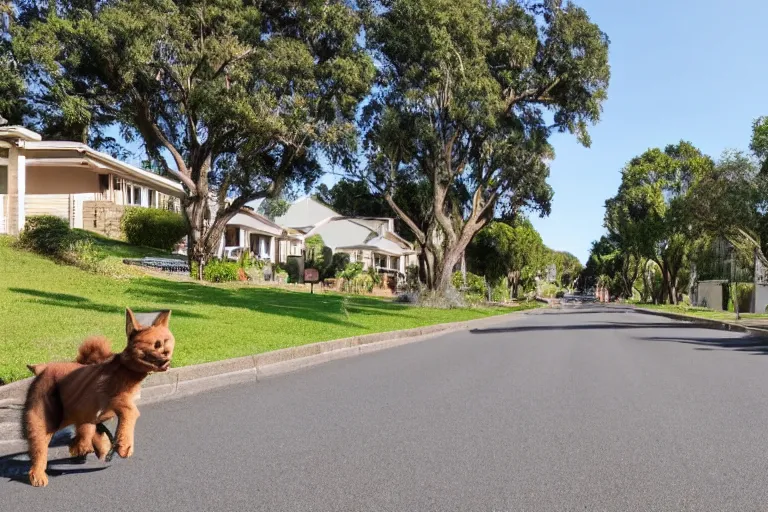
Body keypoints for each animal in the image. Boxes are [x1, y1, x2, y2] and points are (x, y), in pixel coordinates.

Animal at [24, 308, 176, 488]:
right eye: (156, 345)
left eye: (168, 344)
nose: (167, 357)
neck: (126, 370)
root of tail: (41, 369)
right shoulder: (111, 398)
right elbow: (129, 411)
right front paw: (124, 445)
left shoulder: (91, 410)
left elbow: (91, 431)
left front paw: (94, 446)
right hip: (43, 416)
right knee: (39, 445)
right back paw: (38, 475)